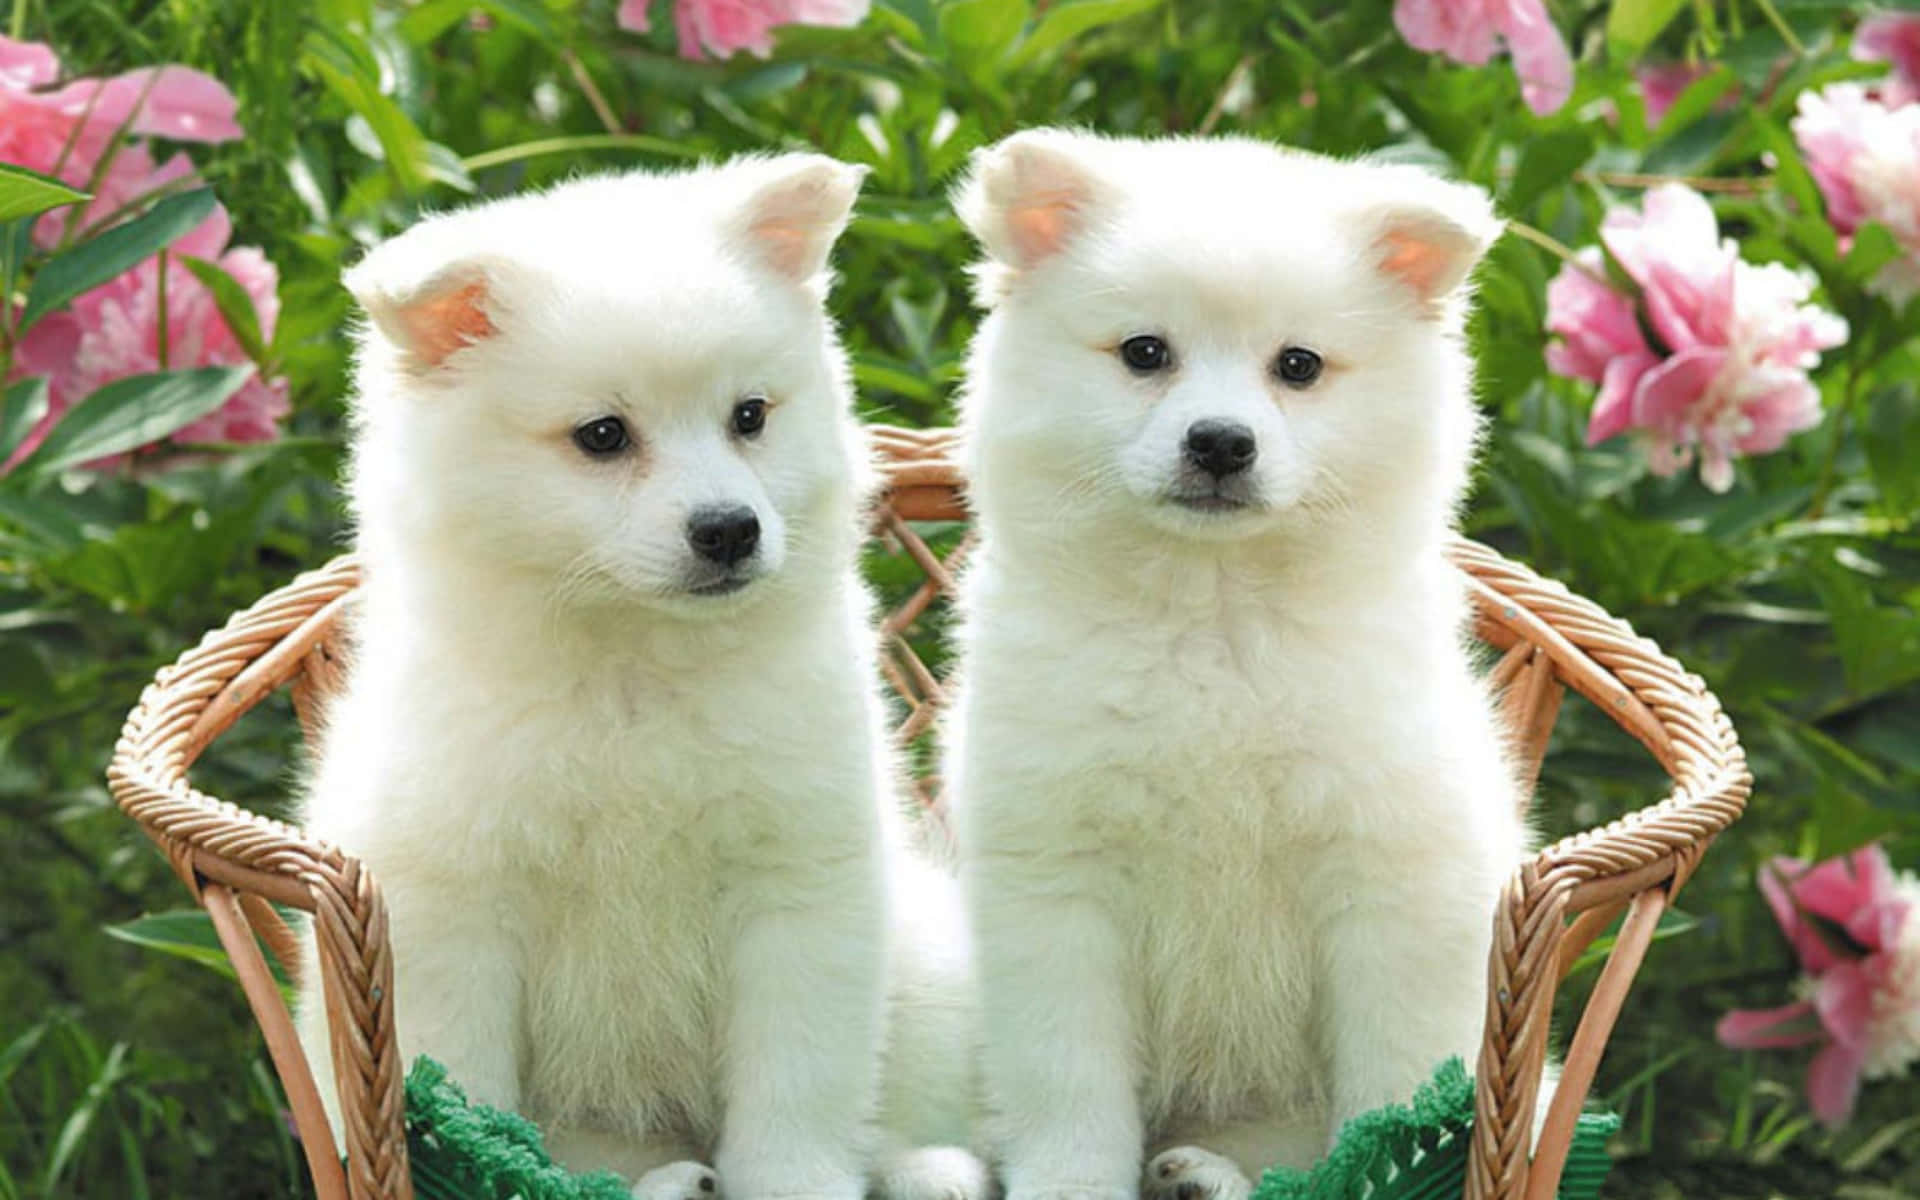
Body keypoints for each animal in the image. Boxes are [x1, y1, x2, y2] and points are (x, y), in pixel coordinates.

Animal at [297, 156, 983, 1198]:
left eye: (750, 416)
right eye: (603, 436)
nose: (730, 529)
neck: (635, 670)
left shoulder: (798, 886)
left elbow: (798, 1089)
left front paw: (792, 1180)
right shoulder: (452, 911)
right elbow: (463, 1098)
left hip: (929, 970)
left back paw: (928, 1166)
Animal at [940, 128, 1528, 1198]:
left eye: (1298, 366)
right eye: (1145, 353)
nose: (1220, 442)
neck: (1210, 615)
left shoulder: (1390, 874)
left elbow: (1391, 1091)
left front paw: (1387, 1168)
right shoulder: (1056, 881)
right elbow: (1068, 1082)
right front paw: (1072, 1181)